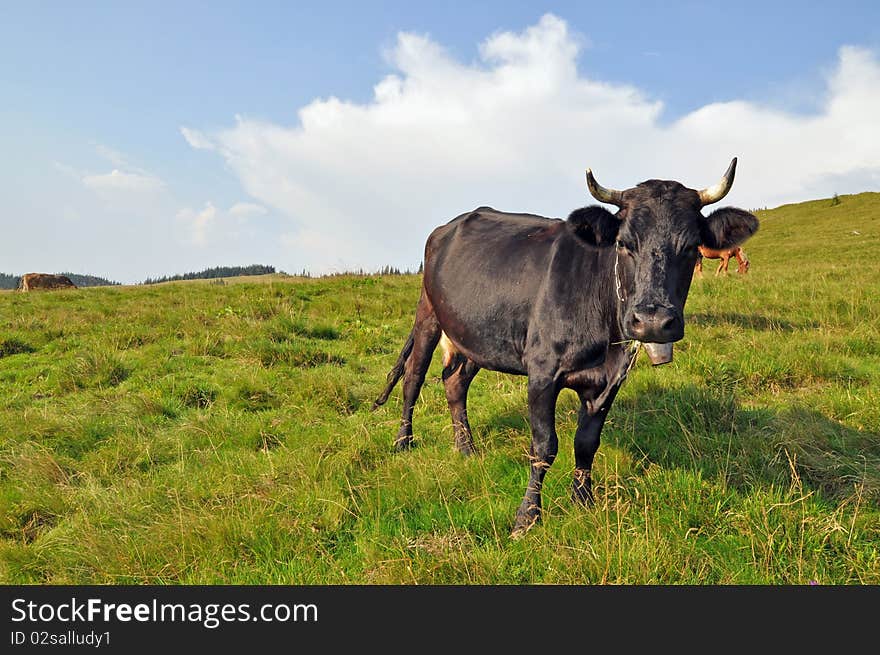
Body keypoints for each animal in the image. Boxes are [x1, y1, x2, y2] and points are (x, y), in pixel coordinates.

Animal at [372, 160, 756, 540]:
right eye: (624, 244)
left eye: (691, 246)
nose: (653, 321)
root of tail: (448, 226)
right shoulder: (542, 373)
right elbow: (544, 446)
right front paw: (527, 517)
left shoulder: (609, 382)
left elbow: (586, 443)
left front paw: (583, 501)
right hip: (427, 314)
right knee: (413, 378)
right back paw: (403, 441)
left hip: (475, 336)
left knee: (455, 383)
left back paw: (466, 448)